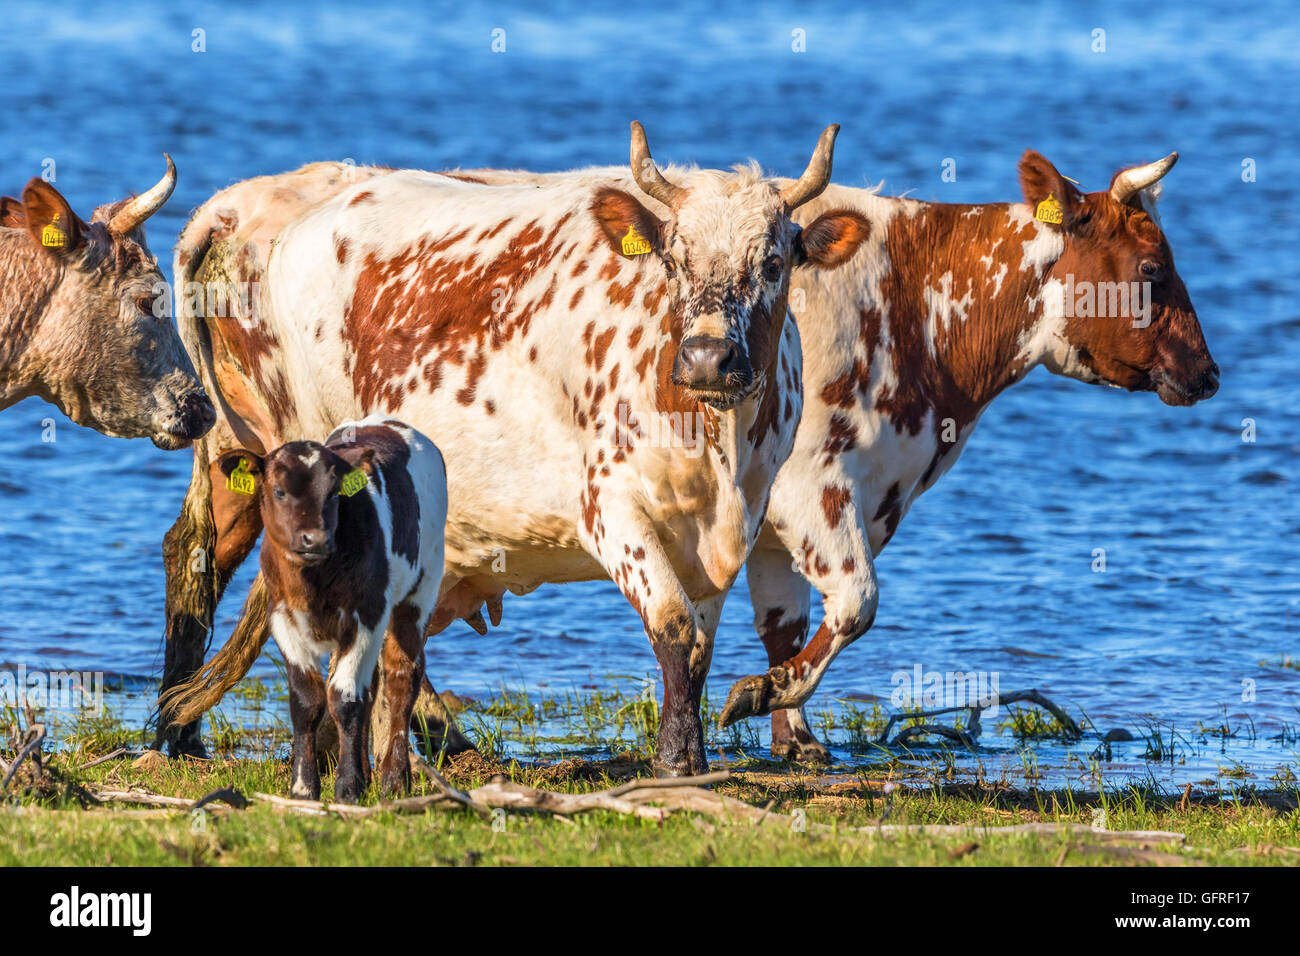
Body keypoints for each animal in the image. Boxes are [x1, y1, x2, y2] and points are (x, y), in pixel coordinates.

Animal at [218, 416, 447, 806]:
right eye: (279, 491)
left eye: (334, 493)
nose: (315, 539)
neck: (313, 580)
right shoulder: (282, 615)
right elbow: (307, 701)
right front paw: (303, 788)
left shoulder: (368, 612)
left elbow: (345, 697)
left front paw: (349, 788)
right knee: (373, 685)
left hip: (420, 590)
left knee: (402, 678)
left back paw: (394, 781)